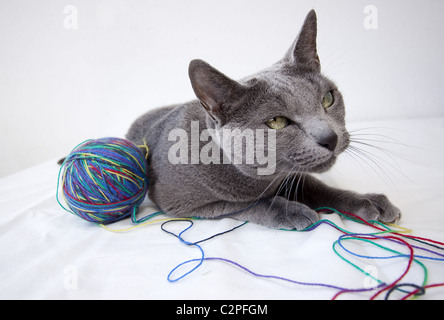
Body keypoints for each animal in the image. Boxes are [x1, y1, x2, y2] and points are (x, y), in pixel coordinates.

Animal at [126, 10, 400, 230]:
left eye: (328, 99)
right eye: (277, 121)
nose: (330, 138)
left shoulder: (293, 176)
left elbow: (321, 188)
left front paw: (368, 201)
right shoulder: (181, 203)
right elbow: (247, 204)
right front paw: (290, 210)